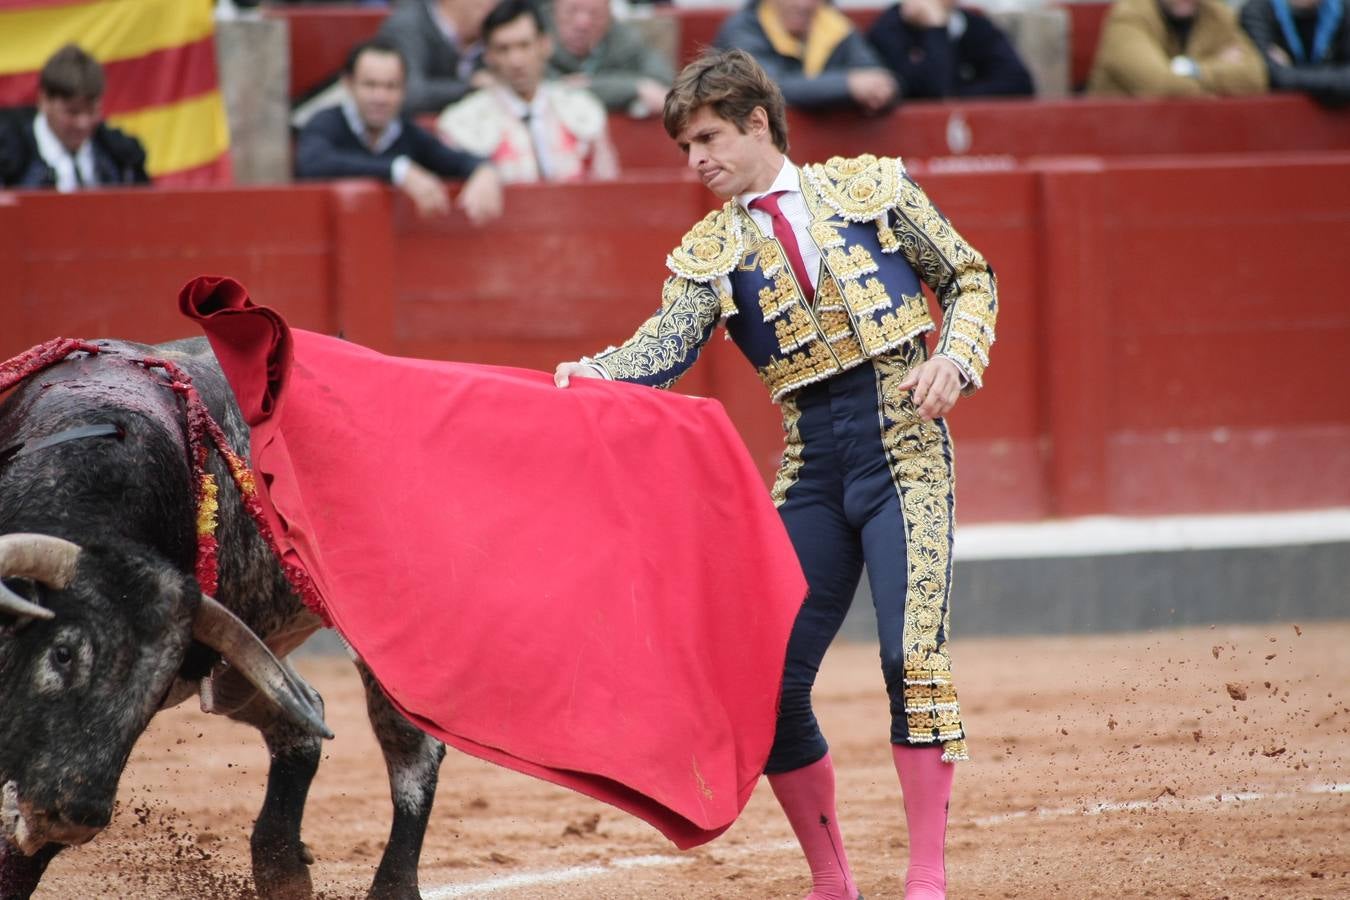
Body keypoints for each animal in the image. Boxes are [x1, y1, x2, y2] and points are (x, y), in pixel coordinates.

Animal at [0, 340, 450, 900]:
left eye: (154, 688)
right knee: (302, 723)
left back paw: (390, 885)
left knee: (412, 750)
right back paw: (282, 869)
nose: (72, 816)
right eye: (62, 654)